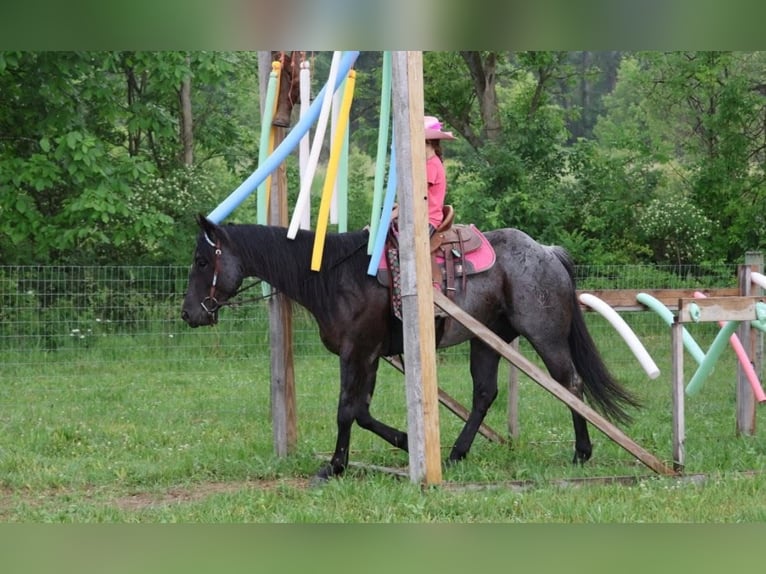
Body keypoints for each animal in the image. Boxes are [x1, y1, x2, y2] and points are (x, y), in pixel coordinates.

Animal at [181, 214, 640, 481]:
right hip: (488, 340)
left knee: (570, 385)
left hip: (545, 336)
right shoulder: (371, 356)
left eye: (203, 261)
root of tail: (547, 252)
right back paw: (455, 453)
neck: (335, 276)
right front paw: (402, 441)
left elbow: (346, 410)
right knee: (484, 394)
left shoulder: (358, 352)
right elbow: (362, 411)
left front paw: (335, 466)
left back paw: (581, 452)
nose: (188, 314)